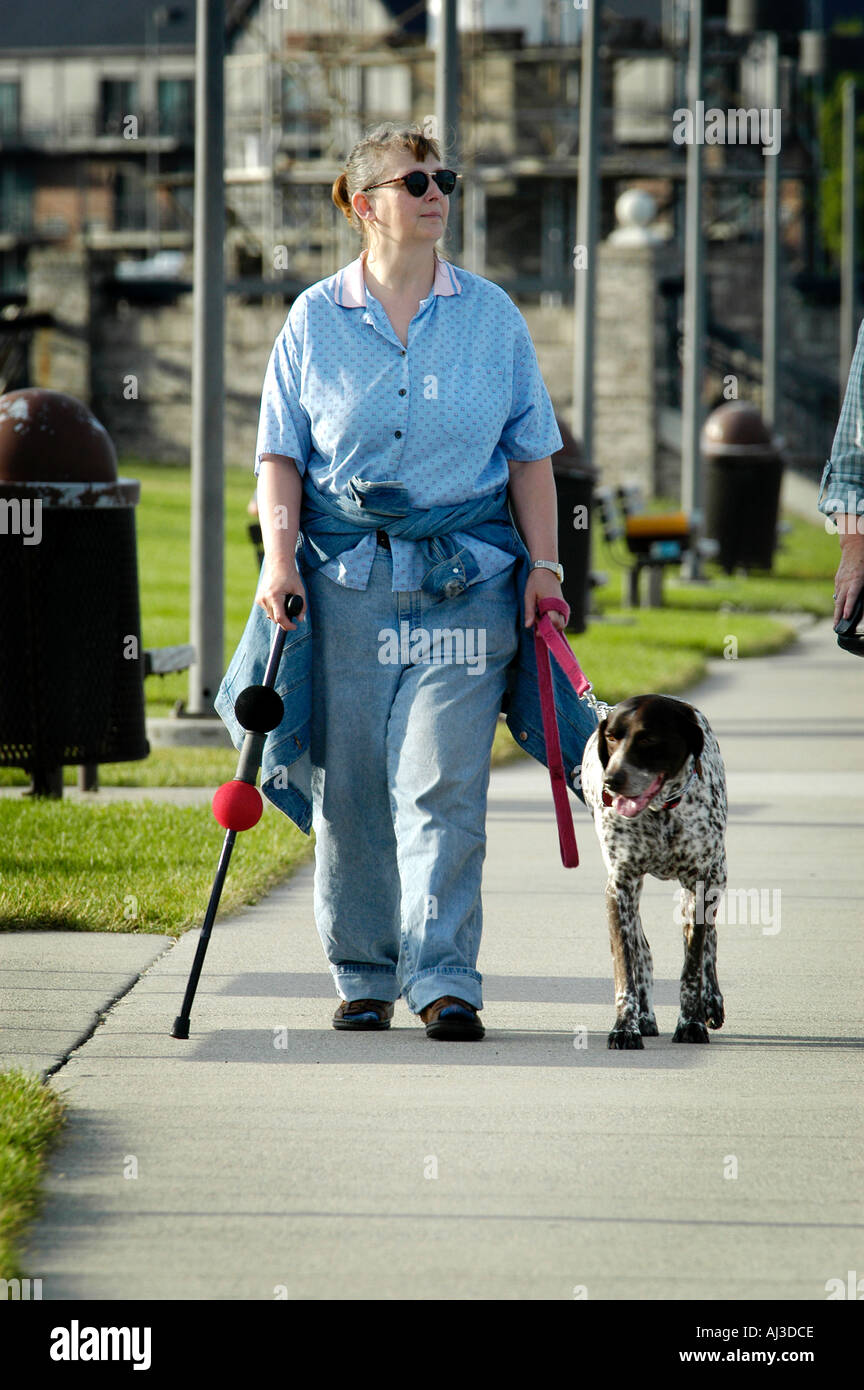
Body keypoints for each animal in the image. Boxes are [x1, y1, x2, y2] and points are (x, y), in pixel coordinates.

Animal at [577, 700, 727, 1045]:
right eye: (611, 737)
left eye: (648, 738)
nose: (611, 780)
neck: (660, 814)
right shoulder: (620, 886)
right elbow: (625, 965)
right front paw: (625, 1026)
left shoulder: (698, 883)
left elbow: (692, 966)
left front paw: (691, 1023)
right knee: (641, 949)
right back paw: (645, 1016)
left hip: (717, 876)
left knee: (709, 941)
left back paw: (711, 1000)